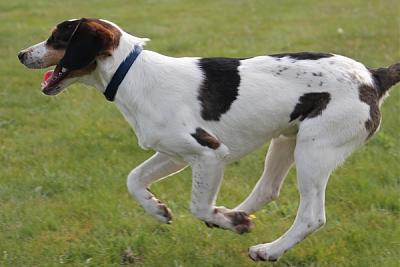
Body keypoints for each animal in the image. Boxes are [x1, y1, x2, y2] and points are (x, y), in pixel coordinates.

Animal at [17, 18, 398, 262]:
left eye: (57, 38)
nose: (20, 54)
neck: (133, 76)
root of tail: (372, 76)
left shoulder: (210, 153)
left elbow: (197, 204)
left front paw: (227, 222)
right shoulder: (174, 153)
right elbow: (134, 179)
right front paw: (158, 210)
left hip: (314, 150)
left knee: (311, 216)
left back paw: (265, 248)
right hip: (287, 141)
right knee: (267, 190)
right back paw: (231, 215)